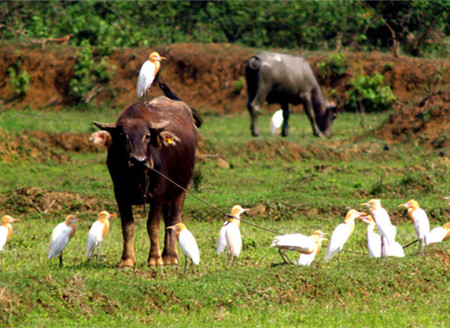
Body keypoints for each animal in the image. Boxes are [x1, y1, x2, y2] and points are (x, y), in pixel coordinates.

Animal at [93, 94, 199, 266]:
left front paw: (155, 259)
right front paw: (127, 260)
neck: (137, 177)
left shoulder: (158, 195)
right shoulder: (120, 195)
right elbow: (127, 226)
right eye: (123, 136)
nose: (139, 160)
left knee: (174, 218)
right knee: (168, 219)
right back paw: (166, 254)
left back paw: (171, 257)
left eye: (147, 136)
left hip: (181, 188)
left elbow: (153, 226)